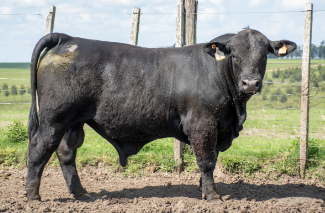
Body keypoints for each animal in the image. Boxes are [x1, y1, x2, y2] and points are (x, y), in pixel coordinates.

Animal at [26, 29, 294, 201]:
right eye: (234, 56)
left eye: (264, 55)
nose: (250, 83)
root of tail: (68, 38)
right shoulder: (202, 124)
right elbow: (206, 160)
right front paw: (212, 196)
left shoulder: (217, 126)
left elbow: (212, 159)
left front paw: (203, 189)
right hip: (53, 119)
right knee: (39, 149)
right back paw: (32, 195)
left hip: (74, 122)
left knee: (65, 152)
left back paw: (80, 192)